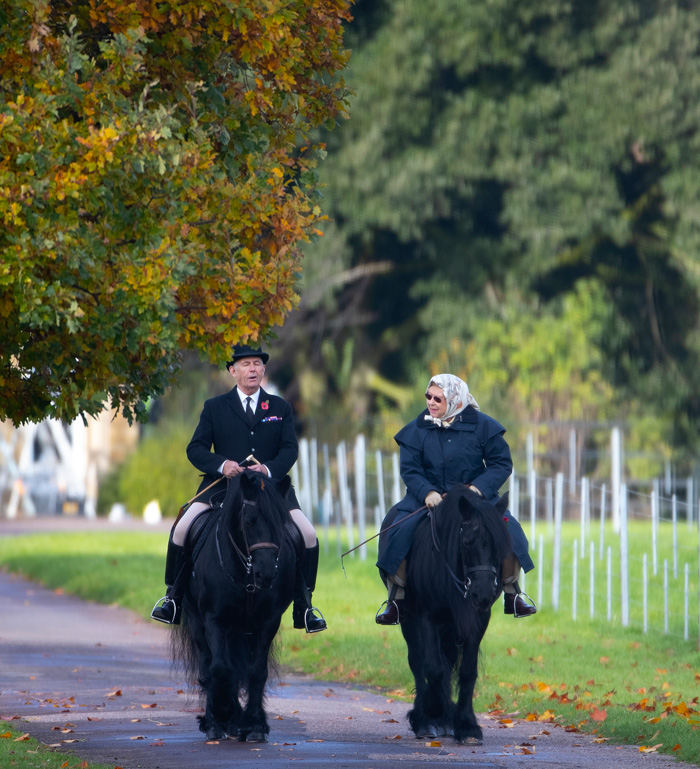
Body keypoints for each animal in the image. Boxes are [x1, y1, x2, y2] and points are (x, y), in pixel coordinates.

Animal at [172, 472, 300, 740]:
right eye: (249, 521)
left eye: (281, 523)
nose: (266, 575)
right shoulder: (215, 620)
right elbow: (220, 668)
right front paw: (223, 713)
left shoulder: (268, 622)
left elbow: (256, 671)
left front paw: (254, 725)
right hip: (197, 621)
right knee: (208, 666)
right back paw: (216, 722)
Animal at [400, 486, 508, 744]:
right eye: (467, 543)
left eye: (500, 546)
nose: (483, 594)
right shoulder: (427, 617)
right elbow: (433, 668)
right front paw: (434, 710)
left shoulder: (478, 621)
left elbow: (467, 671)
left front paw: (467, 726)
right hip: (409, 620)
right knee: (417, 662)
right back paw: (425, 720)